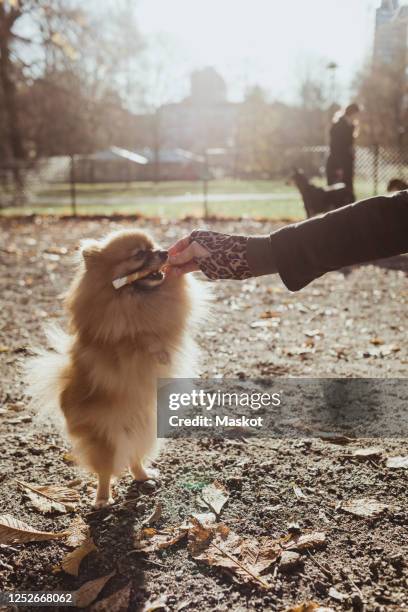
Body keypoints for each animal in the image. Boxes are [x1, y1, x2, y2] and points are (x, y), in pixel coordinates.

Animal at [26, 230, 203, 506]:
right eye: (139, 254)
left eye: (154, 247)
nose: (165, 253)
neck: (134, 298)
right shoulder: (117, 345)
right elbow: (138, 339)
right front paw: (156, 350)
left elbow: (165, 330)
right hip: (105, 438)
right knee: (105, 471)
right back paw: (102, 499)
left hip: (143, 431)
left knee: (134, 457)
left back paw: (143, 476)